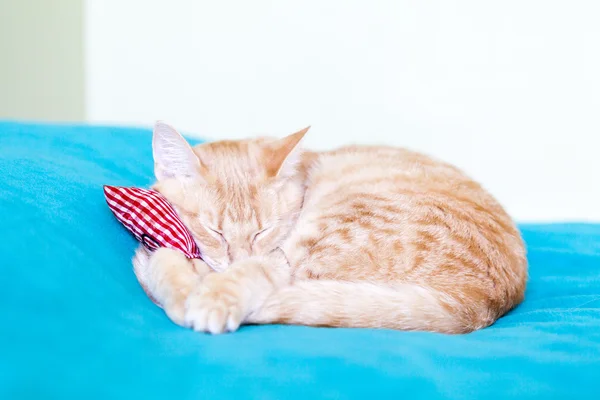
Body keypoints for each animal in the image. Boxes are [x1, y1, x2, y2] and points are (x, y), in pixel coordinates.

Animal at [134, 122, 528, 334]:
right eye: (215, 232)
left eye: (263, 231)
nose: (236, 259)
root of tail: (480, 301)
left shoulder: (278, 256)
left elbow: (232, 275)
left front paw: (202, 295)